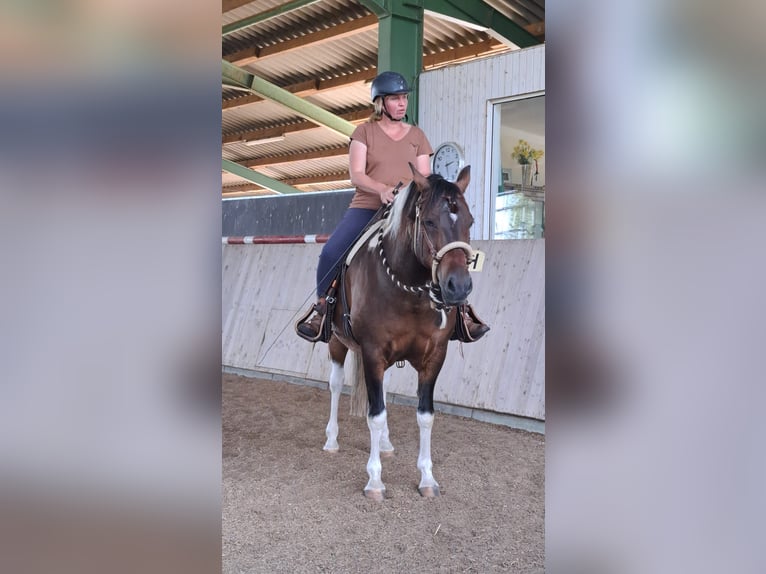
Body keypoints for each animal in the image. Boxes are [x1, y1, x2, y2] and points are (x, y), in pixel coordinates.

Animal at [323, 163, 476, 500]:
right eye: (429, 221)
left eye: (470, 221)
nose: (458, 287)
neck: (408, 289)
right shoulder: (372, 352)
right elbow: (375, 414)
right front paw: (375, 481)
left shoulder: (435, 356)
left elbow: (425, 416)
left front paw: (427, 479)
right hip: (337, 342)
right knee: (336, 385)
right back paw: (331, 440)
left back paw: (385, 444)